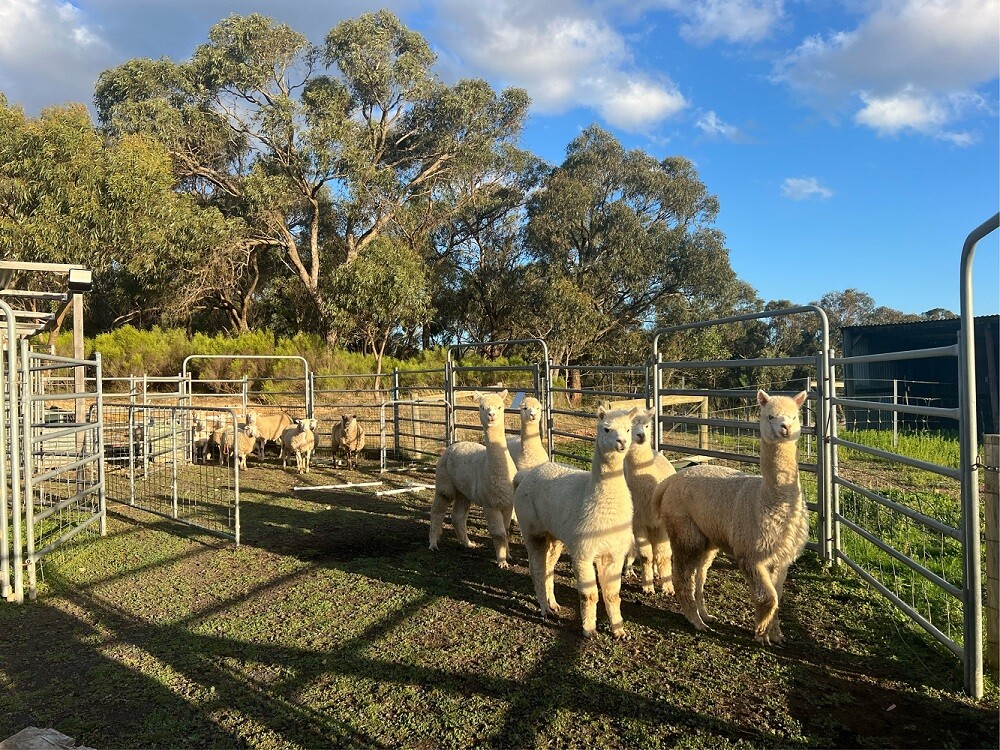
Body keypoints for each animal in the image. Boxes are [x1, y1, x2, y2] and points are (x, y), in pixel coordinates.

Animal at [430, 394, 520, 568]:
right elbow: (499, 533)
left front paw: (509, 555)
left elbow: (506, 531)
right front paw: (502, 562)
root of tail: (451, 446)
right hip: (445, 483)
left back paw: (468, 544)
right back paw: (433, 543)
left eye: (500, 406)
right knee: (437, 510)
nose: (491, 415)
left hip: (464, 492)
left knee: (458, 516)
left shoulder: (507, 503)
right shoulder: (490, 504)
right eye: (481, 407)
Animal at [512, 406, 636, 640]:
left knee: (549, 568)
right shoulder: (583, 552)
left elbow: (613, 594)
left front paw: (619, 630)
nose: (622, 442)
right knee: (537, 569)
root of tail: (525, 476)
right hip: (532, 529)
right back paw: (545, 609)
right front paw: (589, 630)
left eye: (628, 428)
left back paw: (553, 603)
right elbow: (589, 595)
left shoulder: (613, 553)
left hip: (554, 536)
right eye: (607, 429)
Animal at [624, 408, 680, 596]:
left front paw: (668, 587)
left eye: (647, 425)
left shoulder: (661, 523)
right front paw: (647, 587)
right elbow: (646, 555)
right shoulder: (638, 522)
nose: (641, 436)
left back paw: (657, 573)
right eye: (628, 426)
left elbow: (663, 554)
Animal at [656, 388, 812, 648]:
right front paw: (761, 632)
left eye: (794, 416)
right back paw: (697, 621)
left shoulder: (781, 558)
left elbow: (778, 596)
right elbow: (767, 597)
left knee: (700, 572)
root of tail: (671, 480)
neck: (767, 502)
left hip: (707, 537)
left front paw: (776, 634)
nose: (785, 428)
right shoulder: (750, 554)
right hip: (684, 528)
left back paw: (705, 614)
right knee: (683, 575)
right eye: (770, 416)